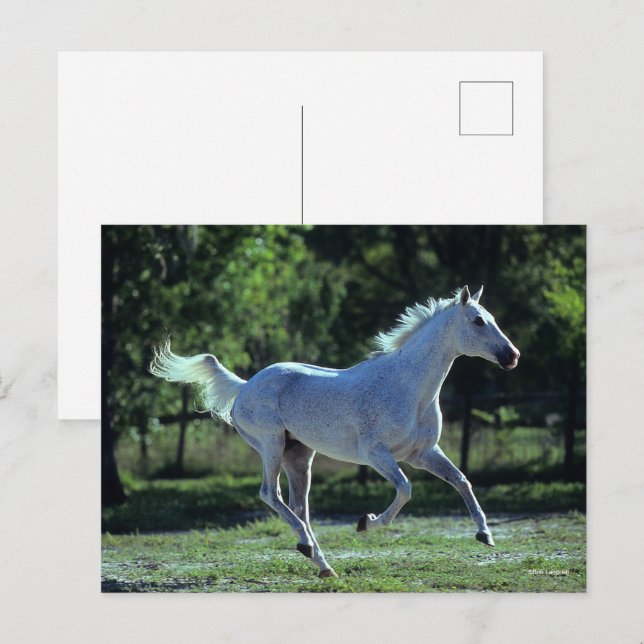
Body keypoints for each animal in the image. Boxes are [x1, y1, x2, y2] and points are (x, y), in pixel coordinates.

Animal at [150, 285, 520, 579]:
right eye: (478, 320)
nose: (512, 356)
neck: (408, 386)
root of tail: (244, 387)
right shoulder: (377, 454)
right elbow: (405, 489)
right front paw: (366, 522)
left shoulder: (422, 453)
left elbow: (461, 481)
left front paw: (485, 535)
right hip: (271, 444)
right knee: (271, 494)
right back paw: (307, 548)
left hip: (299, 456)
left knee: (299, 507)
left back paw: (322, 564)